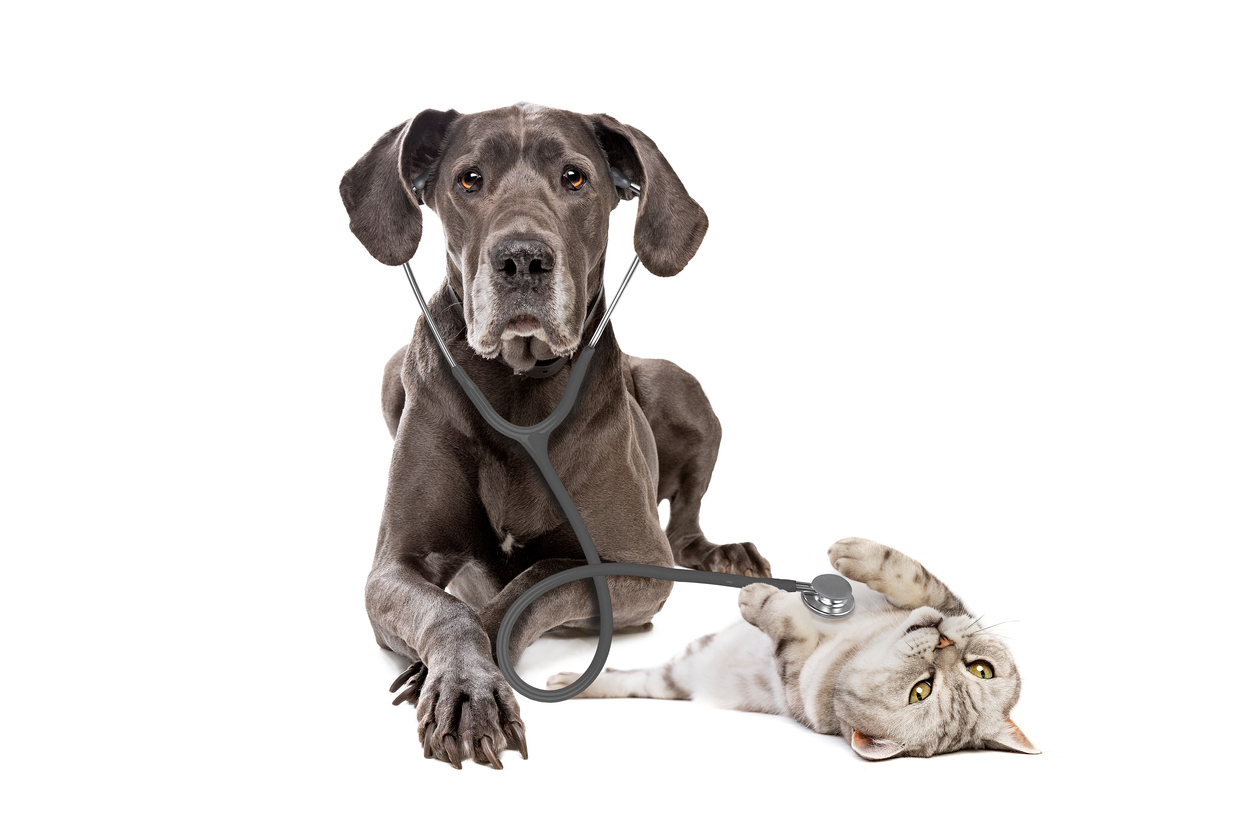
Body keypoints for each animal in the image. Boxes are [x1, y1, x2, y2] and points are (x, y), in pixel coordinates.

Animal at [341, 104, 762, 772]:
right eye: (468, 179)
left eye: (574, 177)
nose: (522, 260)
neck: (518, 384)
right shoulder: (393, 566)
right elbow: (448, 608)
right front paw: (464, 685)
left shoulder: (640, 565)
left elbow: (534, 580)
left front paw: (456, 682)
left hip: (681, 388)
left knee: (685, 526)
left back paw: (724, 553)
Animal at [549, 538, 1038, 762]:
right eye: (982, 669)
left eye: (922, 691)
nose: (945, 642)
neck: (859, 642)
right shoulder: (943, 601)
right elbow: (914, 576)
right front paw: (853, 553)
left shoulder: (792, 675)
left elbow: (785, 626)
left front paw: (758, 598)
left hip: (672, 681)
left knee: (639, 681)